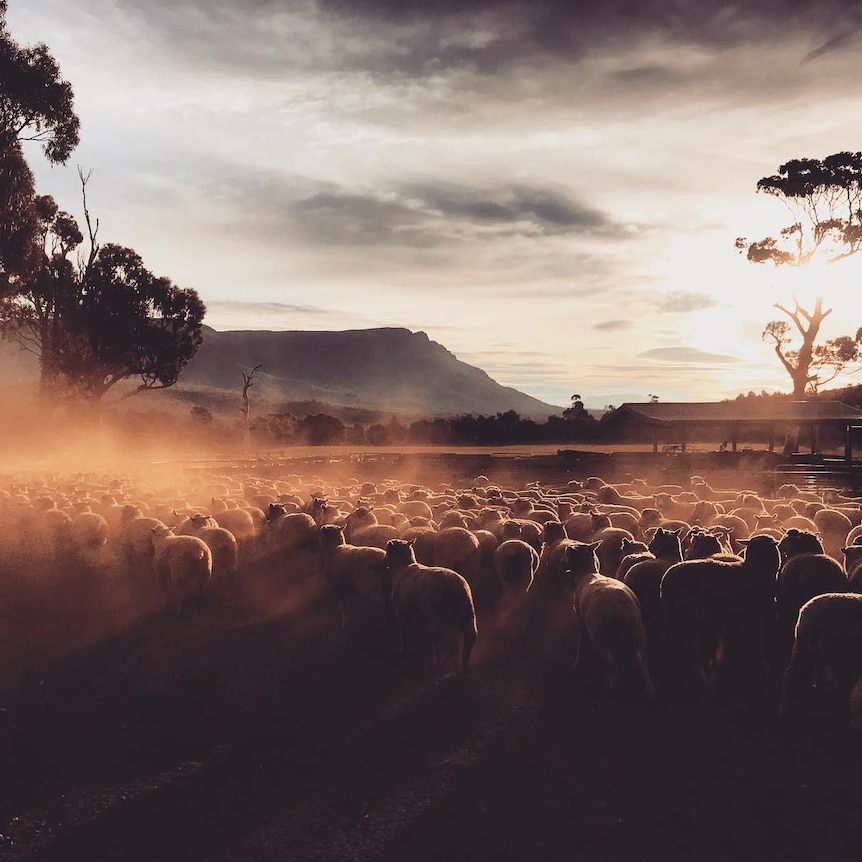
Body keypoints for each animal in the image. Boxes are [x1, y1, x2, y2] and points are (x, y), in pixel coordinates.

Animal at [386, 540, 480, 676]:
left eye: (388, 550)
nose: (385, 560)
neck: (402, 567)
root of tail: (456, 586)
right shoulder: (426, 619)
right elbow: (432, 638)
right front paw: (437, 658)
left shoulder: (401, 612)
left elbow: (403, 632)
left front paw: (404, 651)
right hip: (467, 612)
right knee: (470, 635)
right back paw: (464, 665)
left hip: (440, 618)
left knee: (450, 641)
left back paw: (452, 669)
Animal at [560, 544, 656, 700]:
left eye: (567, 553)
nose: (561, 563)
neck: (587, 573)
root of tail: (618, 607)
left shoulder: (580, 618)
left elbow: (580, 641)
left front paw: (576, 664)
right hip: (638, 631)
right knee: (641, 661)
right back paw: (649, 690)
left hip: (600, 635)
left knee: (611, 663)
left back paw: (613, 689)